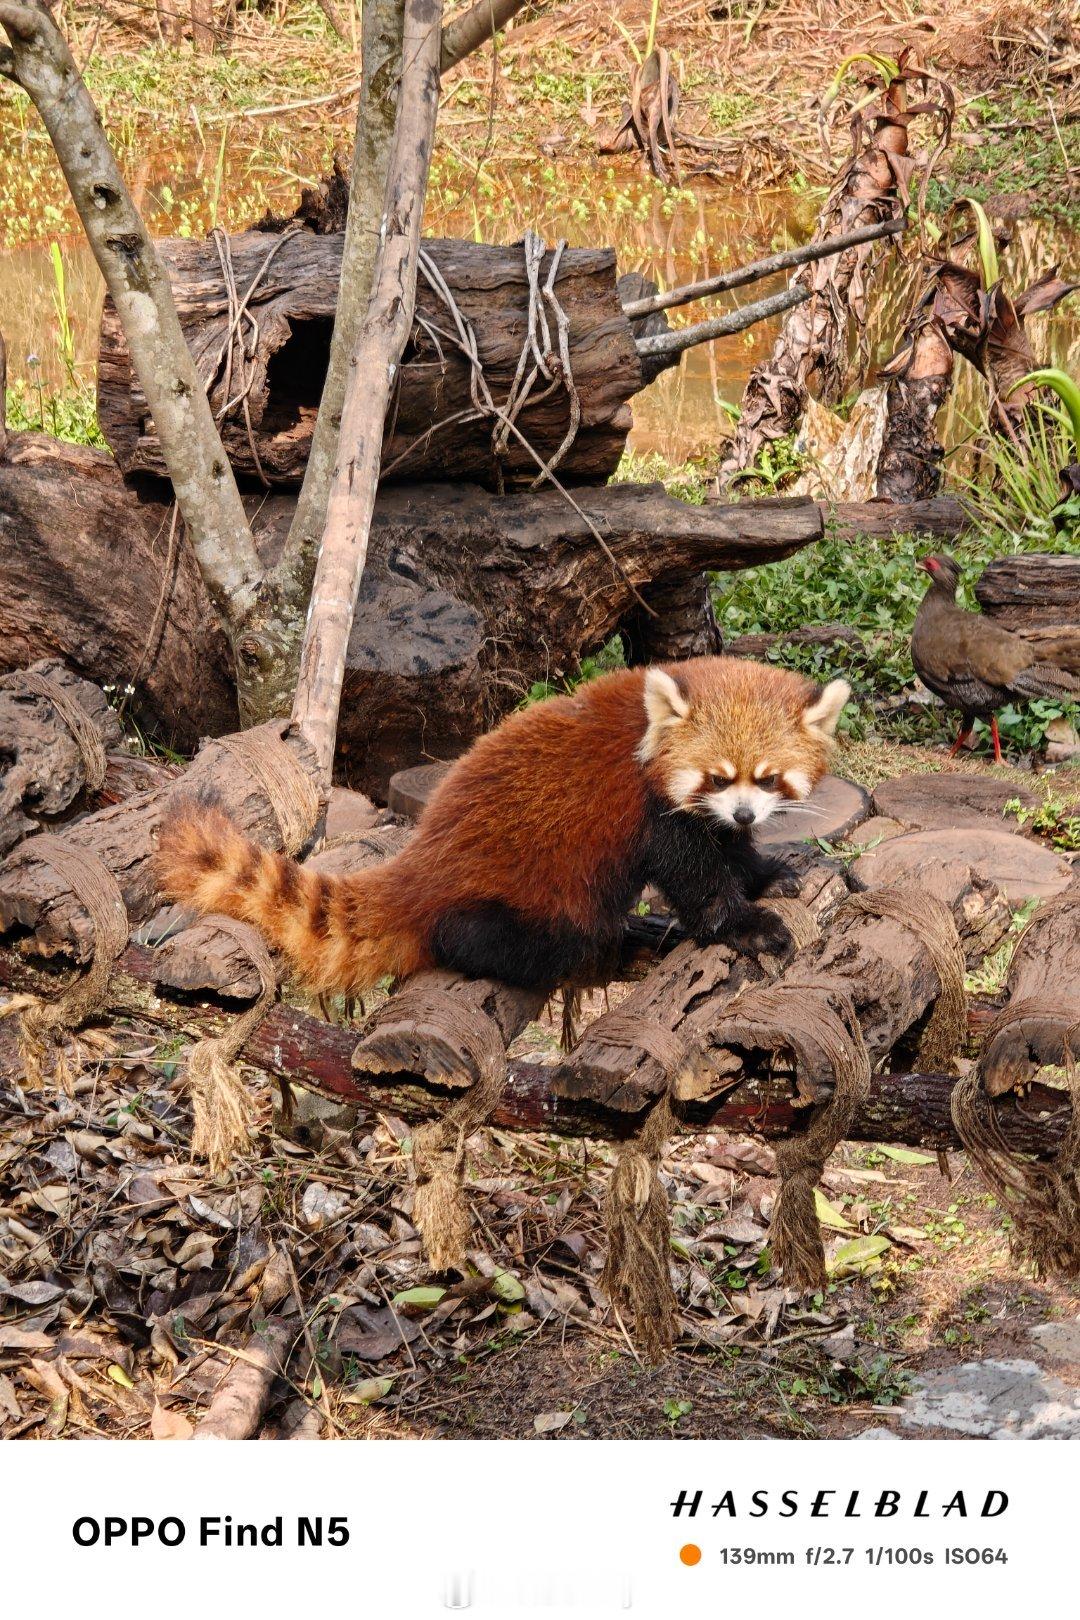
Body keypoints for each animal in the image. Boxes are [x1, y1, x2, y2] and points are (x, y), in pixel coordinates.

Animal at [158, 660, 854, 991]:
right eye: (716, 776)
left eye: (767, 780)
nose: (743, 812)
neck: (649, 733)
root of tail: (419, 863)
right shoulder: (652, 812)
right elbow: (695, 877)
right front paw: (748, 924)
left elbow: (729, 852)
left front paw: (771, 872)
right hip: (514, 896)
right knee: (513, 938)